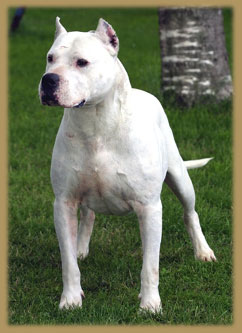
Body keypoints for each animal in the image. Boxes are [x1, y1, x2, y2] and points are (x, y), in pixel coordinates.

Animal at [38, 16, 216, 312]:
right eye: (50, 58)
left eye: (82, 62)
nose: (48, 79)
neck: (95, 124)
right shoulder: (63, 203)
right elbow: (68, 263)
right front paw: (71, 299)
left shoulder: (149, 207)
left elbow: (150, 265)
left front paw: (150, 304)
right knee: (89, 215)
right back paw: (81, 247)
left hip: (180, 177)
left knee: (190, 213)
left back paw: (203, 251)